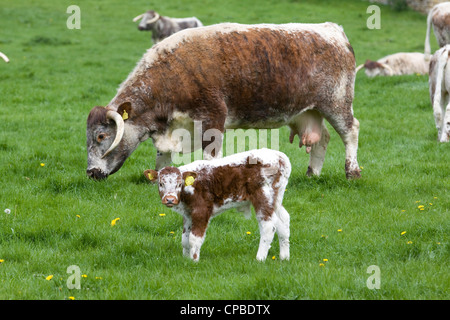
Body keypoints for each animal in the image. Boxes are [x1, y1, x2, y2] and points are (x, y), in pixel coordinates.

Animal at [143, 149, 292, 262]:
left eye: (179, 184)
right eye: (160, 183)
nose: (170, 199)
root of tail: (279, 156)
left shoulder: (201, 210)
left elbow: (194, 239)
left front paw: (194, 260)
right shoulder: (188, 213)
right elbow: (184, 239)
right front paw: (185, 259)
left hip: (263, 196)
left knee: (268, 226)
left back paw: (260, 258)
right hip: (276, 199)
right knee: (283, 220)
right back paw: (284, 257)